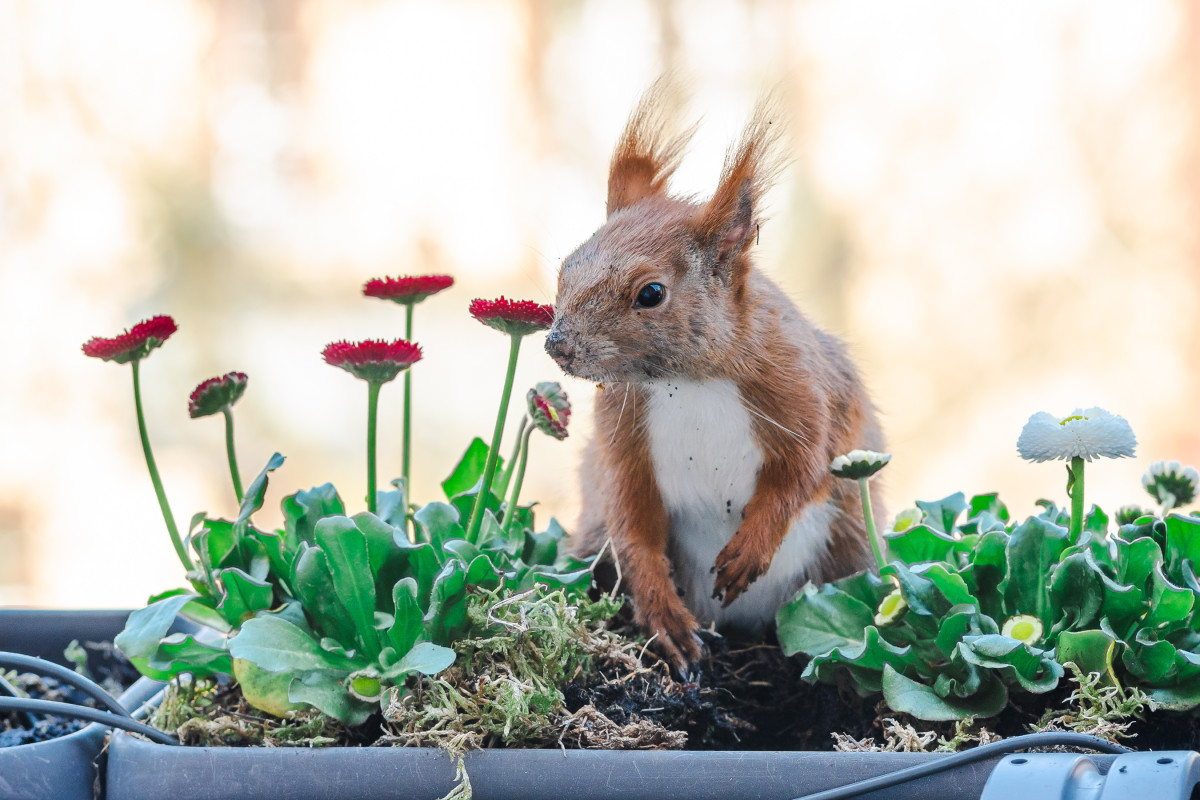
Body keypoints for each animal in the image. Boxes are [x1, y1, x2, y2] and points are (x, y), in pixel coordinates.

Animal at [549, 86, 888, 671]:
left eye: (651, 293)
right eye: (564, 269)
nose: (557, 345)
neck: (688, 382)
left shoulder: (804, 391)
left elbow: (803, 471)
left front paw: (750, 549)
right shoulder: (624, 435)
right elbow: (632, 519)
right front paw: (666, 620)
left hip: (850, 554)